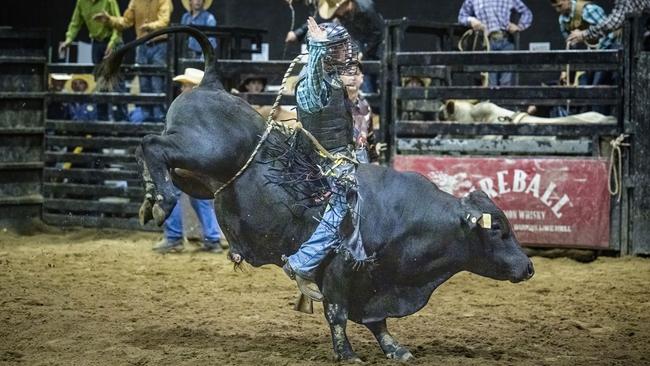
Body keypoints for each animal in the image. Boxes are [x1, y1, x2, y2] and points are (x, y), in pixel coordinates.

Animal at [96, 27, 532, 362]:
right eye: (499, 230)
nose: (528, 267)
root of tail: (210, 84)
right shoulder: (341, 269)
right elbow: (337, 313)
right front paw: (348, 354)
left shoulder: (375, 281)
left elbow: (377, 320)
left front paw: (395, 348)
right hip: (202, 149)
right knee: (152, 144)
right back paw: (161, 200)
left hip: (200, 176)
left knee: (159, 156)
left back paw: (151, 197)